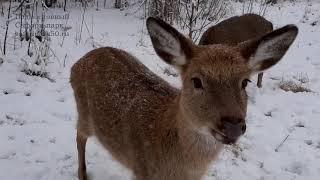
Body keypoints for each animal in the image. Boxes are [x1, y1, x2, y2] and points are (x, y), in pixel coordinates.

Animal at [70, 17, 298, 180]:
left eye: (244, 82)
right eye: (196, 81)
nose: (233, 125)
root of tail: (78, 63)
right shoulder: (141, 170)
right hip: (83, 111)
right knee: (79, 135)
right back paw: (82, 174)